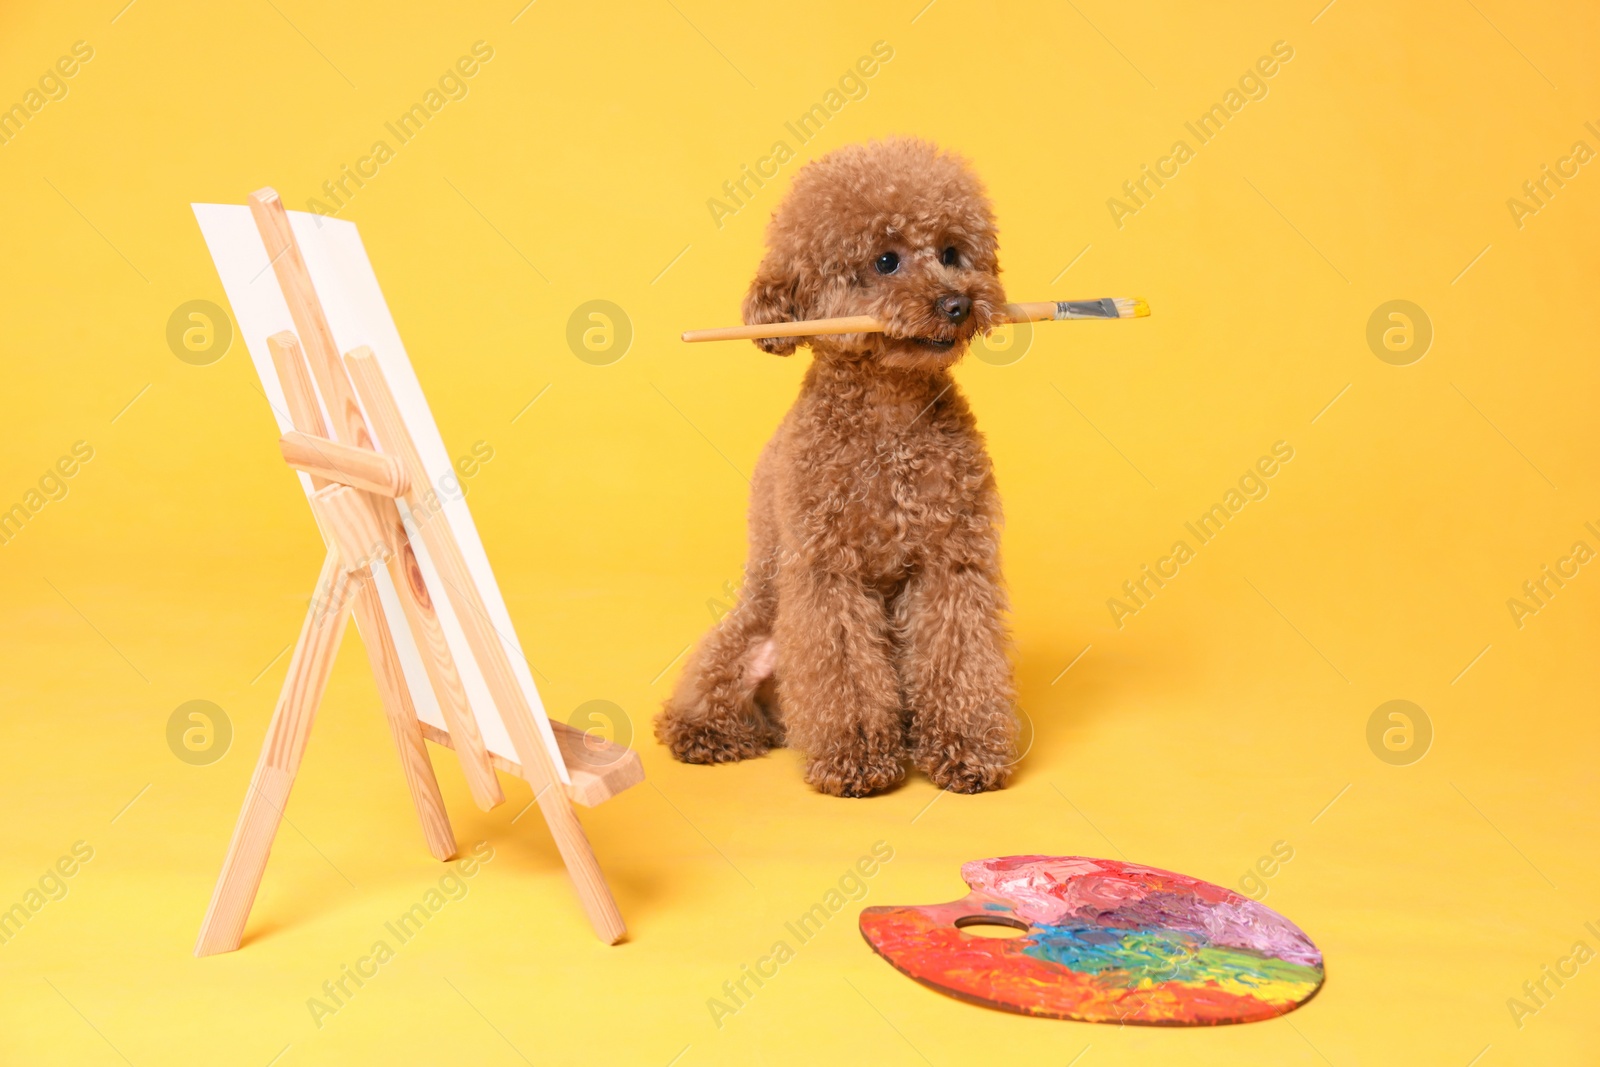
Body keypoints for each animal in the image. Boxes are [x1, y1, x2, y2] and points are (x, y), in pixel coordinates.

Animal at [659, 137, 1011, 796]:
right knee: (705, 697)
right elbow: (843, 667)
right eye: (886, 261)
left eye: (952, 253)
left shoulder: (952, 561)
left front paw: (966, 750)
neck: (890, 420)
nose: (957, 303)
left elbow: (958, 659)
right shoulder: (828, 570)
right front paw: (859, 759)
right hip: (745, 636)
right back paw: (708, 734)